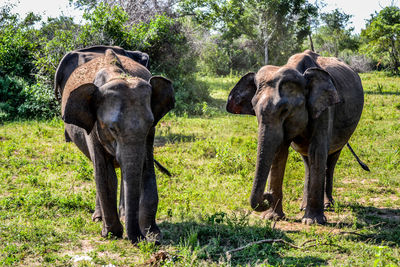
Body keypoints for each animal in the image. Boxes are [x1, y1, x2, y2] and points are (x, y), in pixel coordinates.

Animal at [55, 47, 174, 244]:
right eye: (111, 128)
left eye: (150, 124)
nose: (144, 240)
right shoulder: (93, 128)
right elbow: (106, 174)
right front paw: (111, 233)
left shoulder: (149, 135)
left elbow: (146, 169)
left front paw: (153, 234)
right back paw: (99, 218)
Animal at [227, 49, 368, 225]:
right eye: (254, 109)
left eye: (285, 110)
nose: (267, 196)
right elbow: (279, 152)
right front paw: (272, 217)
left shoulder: (324, 109)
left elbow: (317, 151)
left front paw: (312, 222)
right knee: (307, 161)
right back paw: (303, 206)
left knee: (331, 158)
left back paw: (327, 205)